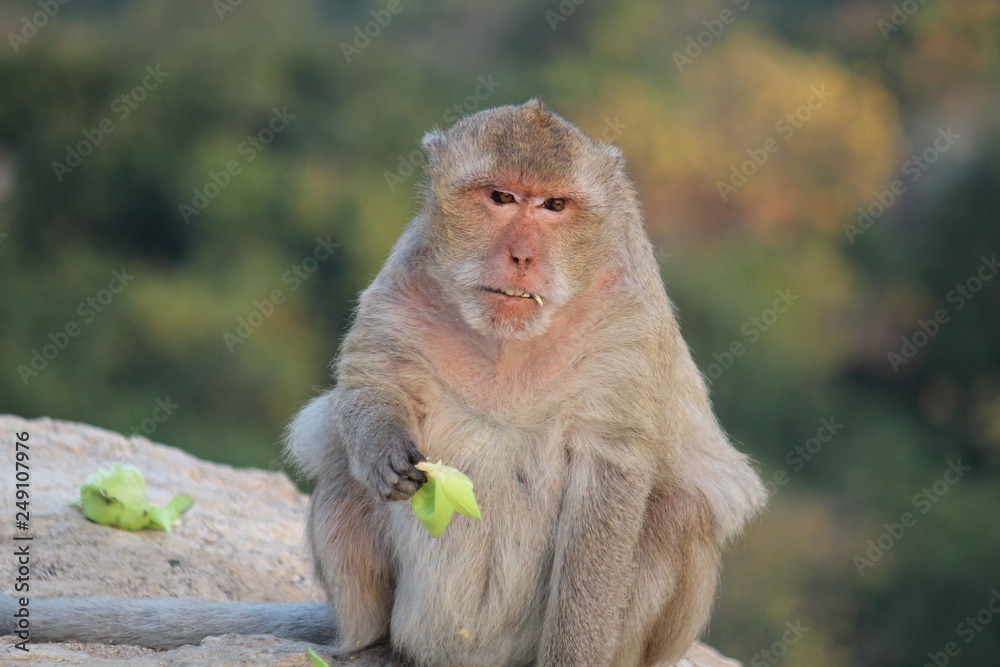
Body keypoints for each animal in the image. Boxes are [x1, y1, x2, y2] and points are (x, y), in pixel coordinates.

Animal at [2, 99, 766, 666]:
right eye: (500, 197)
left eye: (553, 206)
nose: (521, 255)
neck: (509, 346)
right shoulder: (409, 271)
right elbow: (370, 378)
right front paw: (384, 449)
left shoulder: (626, 321)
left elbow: (614, 471)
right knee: (342, 477)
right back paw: (367, 645)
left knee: (677, 511)